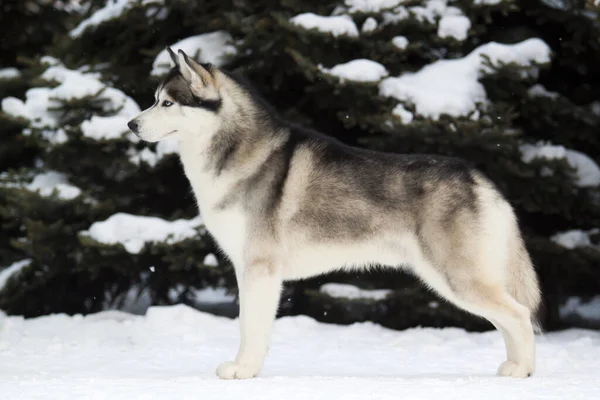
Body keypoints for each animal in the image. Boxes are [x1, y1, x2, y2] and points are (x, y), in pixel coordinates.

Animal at [129, 48, 540, 380]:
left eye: (167, 103)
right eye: (154, 100)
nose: (131, 124)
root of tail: (479, 177)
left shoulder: (260, 268)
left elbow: (250, 327)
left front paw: (243, 370)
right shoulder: (247, 269)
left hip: (457, 278)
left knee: (520, 315)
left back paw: (522, 370)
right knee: (507, 318)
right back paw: (513, 366)